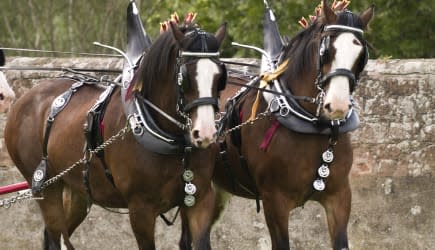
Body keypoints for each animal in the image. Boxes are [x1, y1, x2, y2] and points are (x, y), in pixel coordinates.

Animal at [4, 20, 228, 250]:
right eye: (185, 77)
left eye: (220, 77)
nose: (206, 133)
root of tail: (24, 99)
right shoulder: (140, 210)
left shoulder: (200, 199)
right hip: (45, 188)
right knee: (59, 238)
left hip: (77, 191)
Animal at [182, 0, 376, 249]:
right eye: (326, 51)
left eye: (361, 55)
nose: (338, 105)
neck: (313, 126)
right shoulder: (274, 201)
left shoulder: (339, 196)